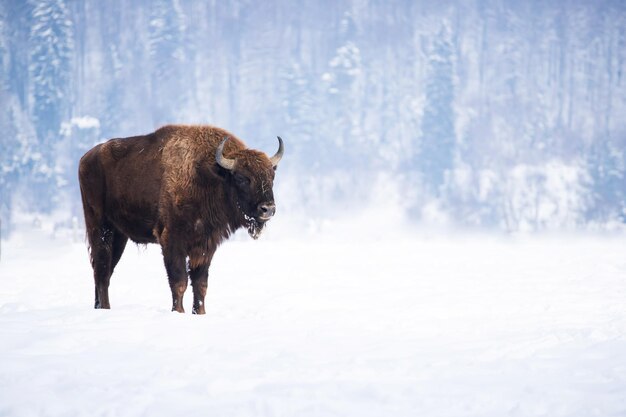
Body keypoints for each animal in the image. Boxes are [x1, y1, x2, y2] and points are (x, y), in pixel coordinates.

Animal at [79, 123, 284, 312]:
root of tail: (85, 158)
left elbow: (200, 285)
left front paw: (199, 313)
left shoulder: (205, 245)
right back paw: (105, 308)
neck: (208, 175)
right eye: (241, 178)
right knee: (102, 271)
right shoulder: (172, 240)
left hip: (119, 235)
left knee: (103, 270)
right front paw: (178, 312)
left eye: (271, 176)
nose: (268, 209)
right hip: (100, 228)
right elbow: (179, 282)